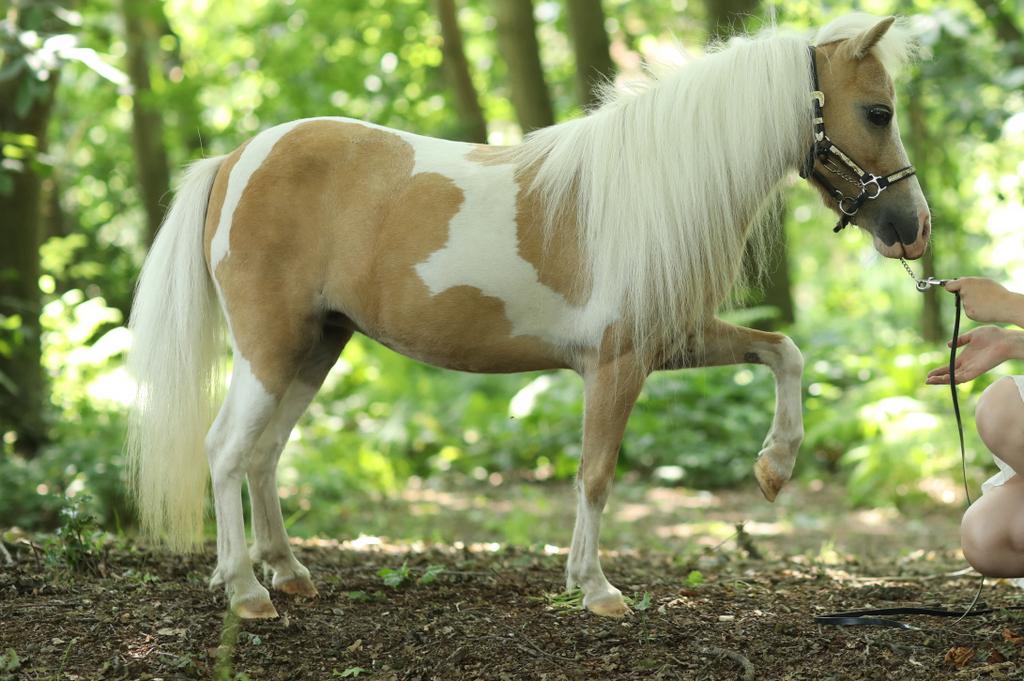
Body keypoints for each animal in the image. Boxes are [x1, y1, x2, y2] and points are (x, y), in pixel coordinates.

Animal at [126, 12, 931, 619]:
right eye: (878, 111)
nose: (914, 229)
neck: (653, 188)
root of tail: (236, 158)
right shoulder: (617, 363)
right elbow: (596, 474)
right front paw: (597, 588)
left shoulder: (674, 341)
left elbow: (783, 350)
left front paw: (773, 468)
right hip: (269, 347)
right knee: (226, 450)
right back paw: (245, 592)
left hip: (316, 347)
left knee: (263, 453)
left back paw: (288, 572)